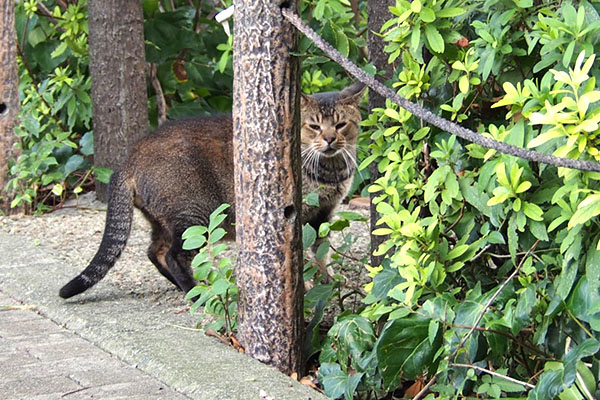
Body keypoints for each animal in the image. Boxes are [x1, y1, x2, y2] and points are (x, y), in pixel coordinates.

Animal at [58, 83, 364, 298]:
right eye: (314, 126)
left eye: (340, 124)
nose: (330, 139)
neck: (331, 171)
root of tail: (129, 158)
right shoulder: (296, 218)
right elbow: (304, 257)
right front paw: (312, 283)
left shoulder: (323, 214)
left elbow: (321, 252)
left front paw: (328, 279)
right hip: (193, 215)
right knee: (173, 256)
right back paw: (197, 294)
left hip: (165, 220)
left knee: (154, 251)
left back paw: (190, 287)